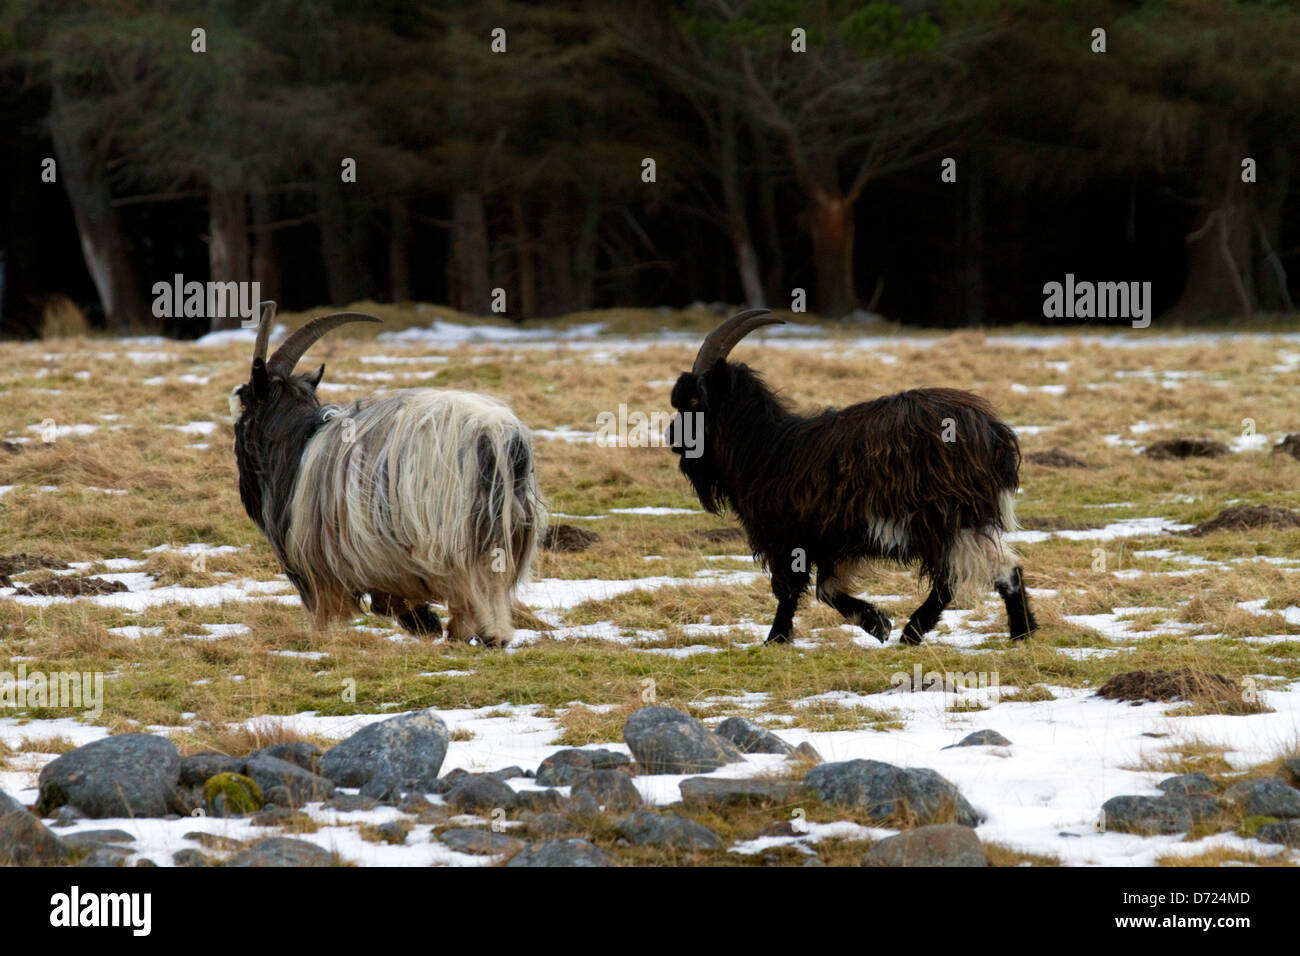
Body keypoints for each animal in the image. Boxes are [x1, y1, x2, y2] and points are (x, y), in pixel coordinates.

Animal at [228, 304, 543, 650]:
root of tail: (496, 433)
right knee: (493, 578)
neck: (296, 441)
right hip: (505, 525)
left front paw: (422, 620)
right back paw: (493, 633)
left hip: (448, 528)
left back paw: (469, 630)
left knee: (469, 576)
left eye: (242, 415)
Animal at [670, 310, 1034, 647]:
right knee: (989, 569)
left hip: (946, 515)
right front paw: (877, 623)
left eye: (694, 401)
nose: (673, 438)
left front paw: (776, 638)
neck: (765, 448)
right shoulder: (833, 539)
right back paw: (1010, 631)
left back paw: (931, 632)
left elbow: (791, 589)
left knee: (969, 573)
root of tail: (994, 433)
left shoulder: (789, 535)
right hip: (960, 518)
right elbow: (826, 588)